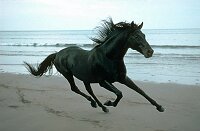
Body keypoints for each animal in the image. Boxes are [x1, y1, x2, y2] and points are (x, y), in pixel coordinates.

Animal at [24, 18, 164, 112]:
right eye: (135, 36)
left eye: (144, 35)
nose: (150, 52)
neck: (109, 57)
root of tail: (57, 54)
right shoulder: (103, 81)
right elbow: (119, 93)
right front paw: (109, 103)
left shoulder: (122, 78)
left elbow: (140, 90)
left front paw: (159, 107)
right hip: (68, 74)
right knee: (75, 89)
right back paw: (98, 105)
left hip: (86, 78)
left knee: (88, 90)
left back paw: (99, 106)